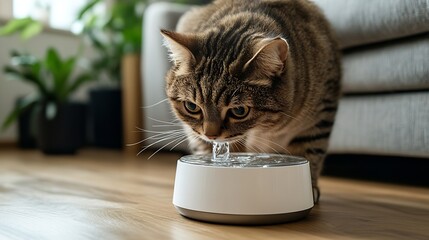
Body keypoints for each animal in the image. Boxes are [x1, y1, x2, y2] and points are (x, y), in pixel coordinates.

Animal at [160, 0, 342, 202]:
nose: (211, 135)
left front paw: (310, 188)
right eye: (192, 106)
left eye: (239, 111)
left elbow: (310, 150)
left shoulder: (321, 113)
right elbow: (207, 146)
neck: (266, 128)